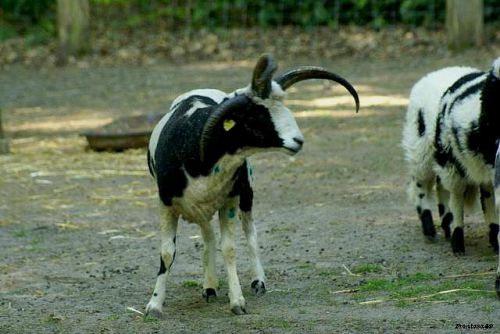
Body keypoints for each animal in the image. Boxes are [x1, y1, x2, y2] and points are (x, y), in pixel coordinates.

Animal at [145, 54, 360, 316]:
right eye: (255, 116)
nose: (298, 141)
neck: (193, 145)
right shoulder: (166, 204)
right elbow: (167, 253)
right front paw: (154, 305)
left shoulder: (230, 200)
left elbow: (230, 248)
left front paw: (237, 302)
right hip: (202, 207)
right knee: (208, 237)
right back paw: (209, 287)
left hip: (245, 195)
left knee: (250, 233)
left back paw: (257, 282)